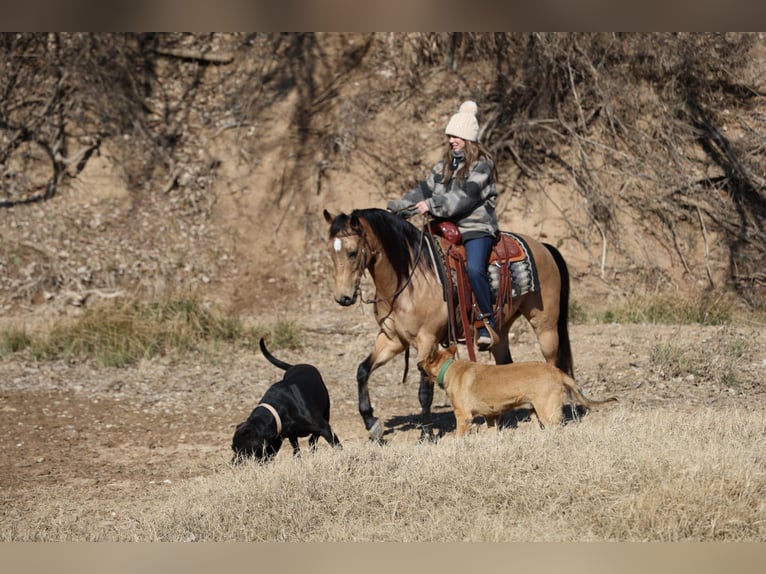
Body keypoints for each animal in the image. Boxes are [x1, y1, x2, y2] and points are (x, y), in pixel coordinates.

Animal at [323, 207, 572, 441]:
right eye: (330, 252)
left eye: (353, 252)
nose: (343, 297)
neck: (409, 281)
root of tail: (542, 246)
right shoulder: (393, 340)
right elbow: (362, 371)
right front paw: (371, 422)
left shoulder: (427, 339)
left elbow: (425, 390)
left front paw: (426, 433)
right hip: (500, 332)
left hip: (545, 325)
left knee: (552, 361)